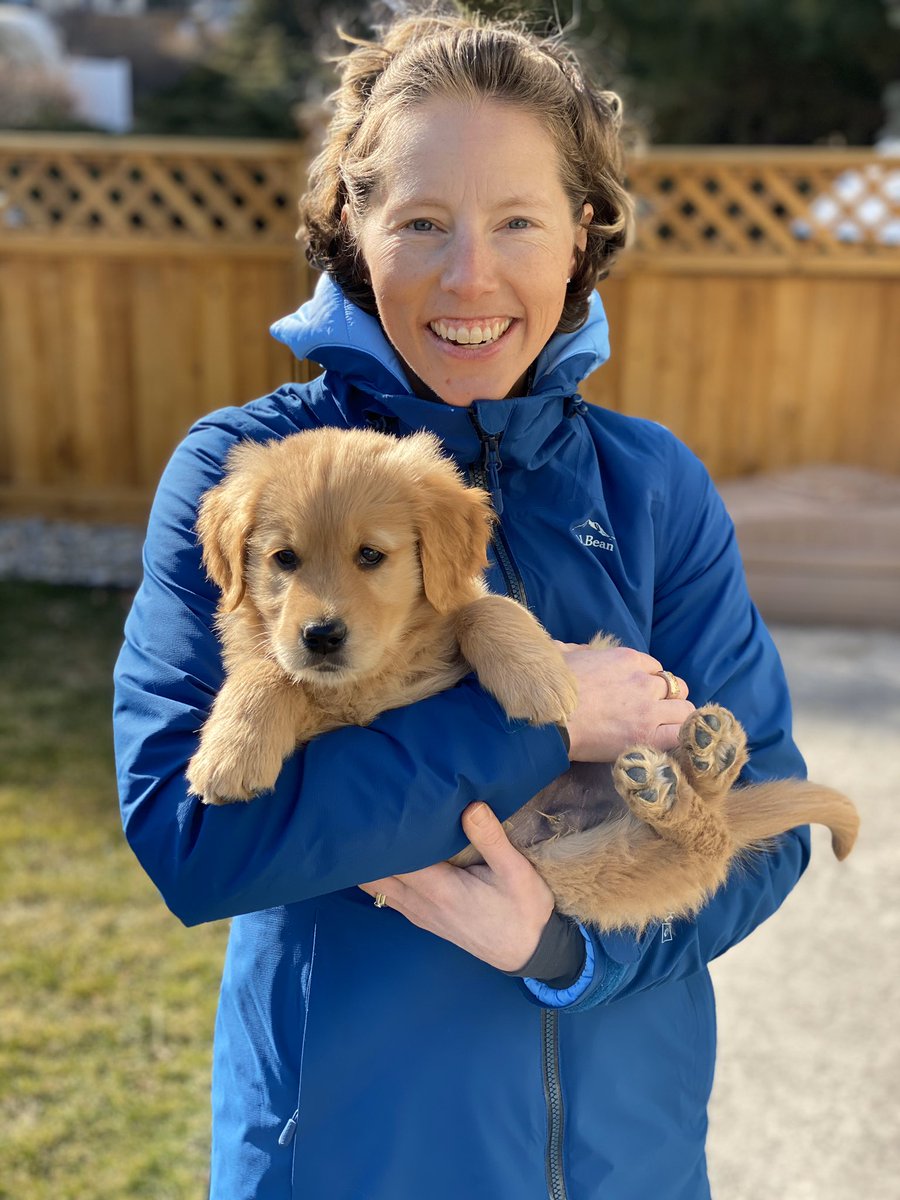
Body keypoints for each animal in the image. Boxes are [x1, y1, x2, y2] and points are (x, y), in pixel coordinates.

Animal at [188, 427, 859, 931]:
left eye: (370, 556)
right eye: (284, 560)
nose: (321, 636)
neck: (378, 671)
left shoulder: (458, 605)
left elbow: (486, 608)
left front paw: (539, 679)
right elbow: (266, 671)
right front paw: (231, 753)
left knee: (710, 835)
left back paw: (704, 758)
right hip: (581, 867)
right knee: (701, 836)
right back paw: (680, 780)